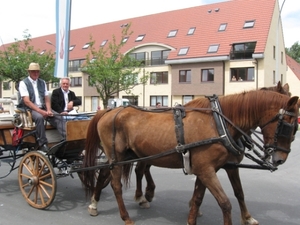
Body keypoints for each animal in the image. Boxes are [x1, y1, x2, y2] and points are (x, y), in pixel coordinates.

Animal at [81, 89, 298, 225]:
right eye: (288, 125)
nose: (280, 159)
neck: (218, 123)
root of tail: (109, 111)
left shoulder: (206, 169)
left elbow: (202, 197)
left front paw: (192, 218)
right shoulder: (207, 170)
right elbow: (225, 203)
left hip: (126, 156)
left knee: (107, 174)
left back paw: (95, 203)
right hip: (116, 157)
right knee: (116, 185)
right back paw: (125, 215)